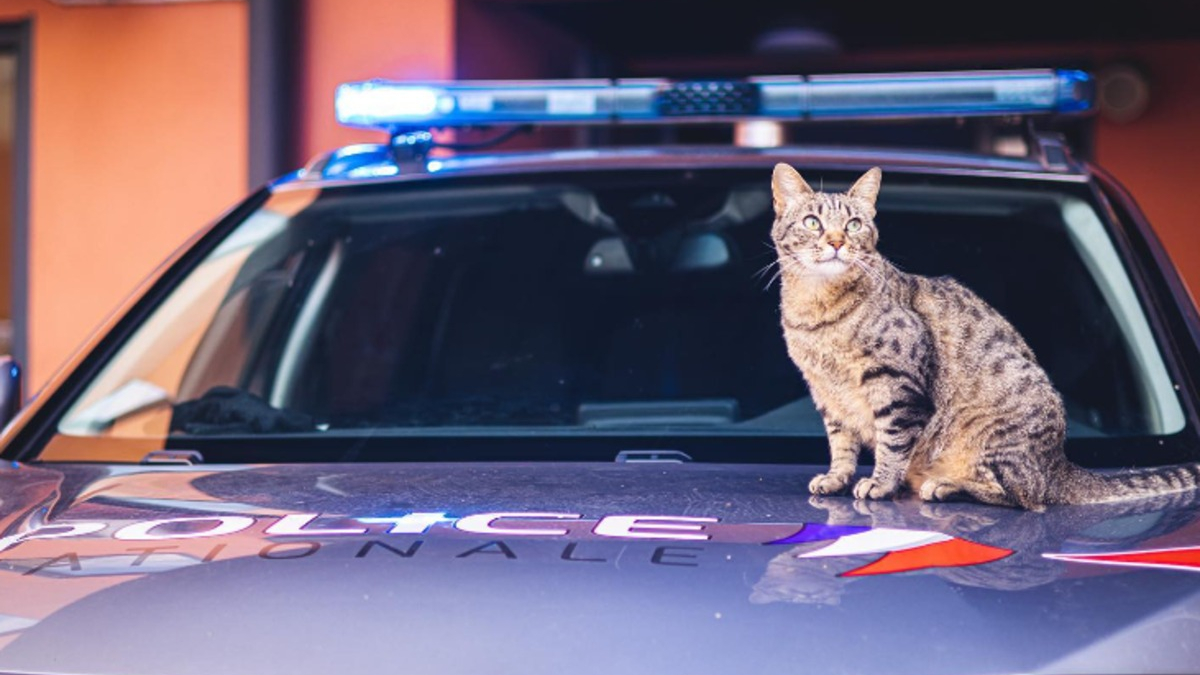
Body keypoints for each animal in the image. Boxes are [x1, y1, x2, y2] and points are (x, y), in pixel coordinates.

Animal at [772, 164, 1195, 509]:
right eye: (812, 222)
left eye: (855, 225)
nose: (837, 241)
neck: (816, 309)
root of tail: (1058, 463)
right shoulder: (827, 392)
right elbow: (840, 444)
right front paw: (836, 478)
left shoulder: (897, 386)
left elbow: (891, 442)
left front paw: (880, 484)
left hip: (989, 435)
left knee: (1025, 495)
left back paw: (946, 486)